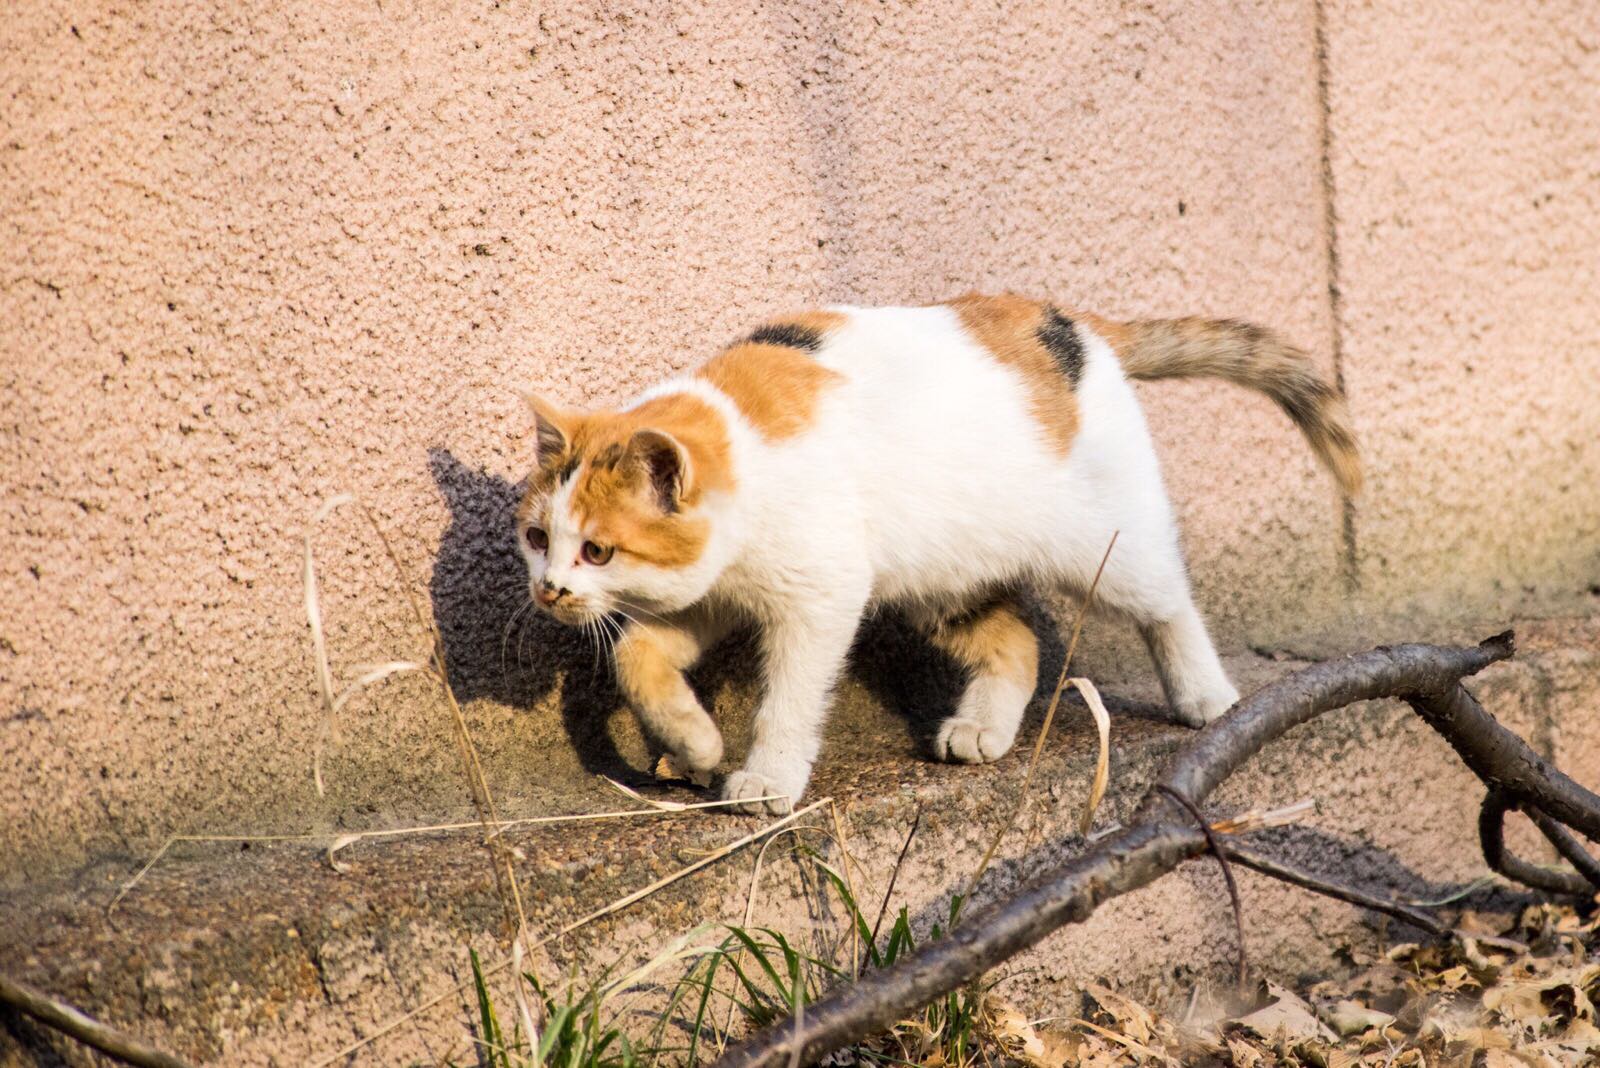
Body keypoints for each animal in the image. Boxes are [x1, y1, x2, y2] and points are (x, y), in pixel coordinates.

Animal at [515, 292, 1363, 808]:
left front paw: (766, 777)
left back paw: (1206, 697)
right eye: (537, 537)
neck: (746, 446)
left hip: (1107, 546)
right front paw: (693, 740)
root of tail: (1074, 324)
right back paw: (982, 729)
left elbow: (790, 697)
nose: (548, 589)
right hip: (944, 578)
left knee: (1168, 600)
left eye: (597, 551)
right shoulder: (707, 593)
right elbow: (639, 658)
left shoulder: (822, 594)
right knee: (1018, 642)